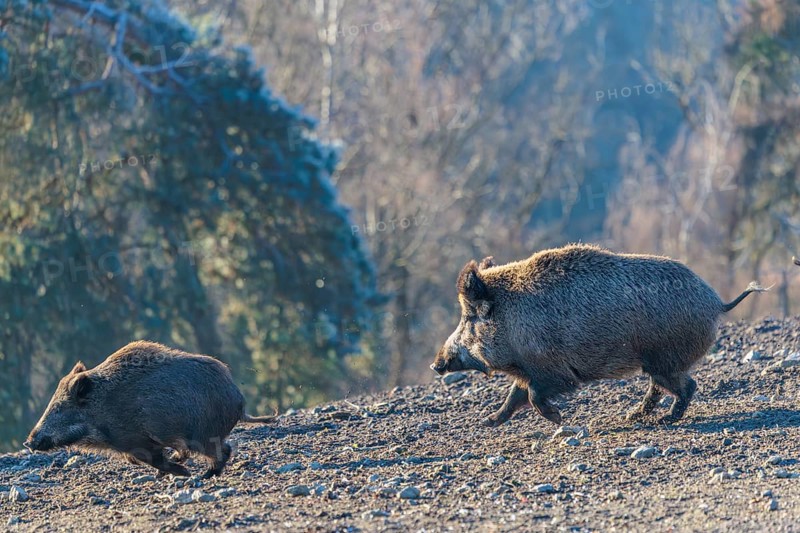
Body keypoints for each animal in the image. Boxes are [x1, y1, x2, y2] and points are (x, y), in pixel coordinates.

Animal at [25, 341, 276, 478]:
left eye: (59, 408)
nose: (28, 442)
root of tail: (238, 400)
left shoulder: (137, 441)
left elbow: (153, 459)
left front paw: (182, 473)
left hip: (202, 435)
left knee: (223, 451)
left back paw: (204, 476)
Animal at [431, 244, 768, 426]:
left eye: (468, 317)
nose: (436, 364)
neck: (513, 319)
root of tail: (717, 302)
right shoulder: (528, 370)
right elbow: (515, 396)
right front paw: (487, 422)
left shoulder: (554, 371)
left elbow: (533, 395)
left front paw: (559, 419)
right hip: (657, 363)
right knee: (659, 388)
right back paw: (632, 417)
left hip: (665, 359)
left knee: (686, 386)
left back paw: (662, 420)